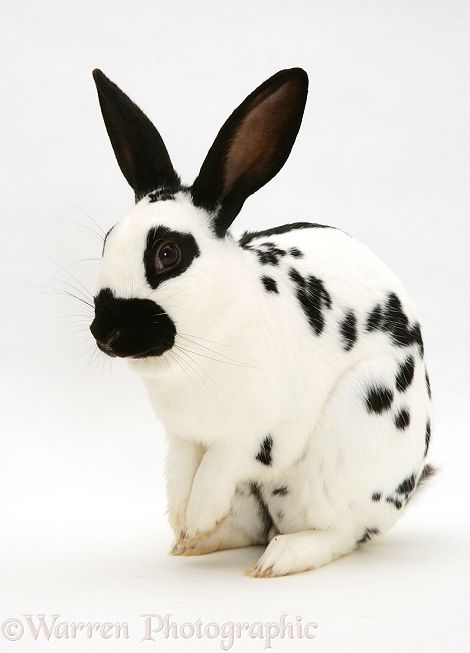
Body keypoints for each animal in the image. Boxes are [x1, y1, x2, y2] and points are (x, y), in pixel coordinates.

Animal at [89, 67, 434, 577]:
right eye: (108, 240)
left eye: (168, 254)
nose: (105, 333)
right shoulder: (183, 439)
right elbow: (180, 479)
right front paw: (184, 526)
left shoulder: (254, 435)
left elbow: (215, 474)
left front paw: (197, 518)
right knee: (254, 528)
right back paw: (197, 545)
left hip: (352, 441)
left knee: (341, 534)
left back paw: (277, 560)